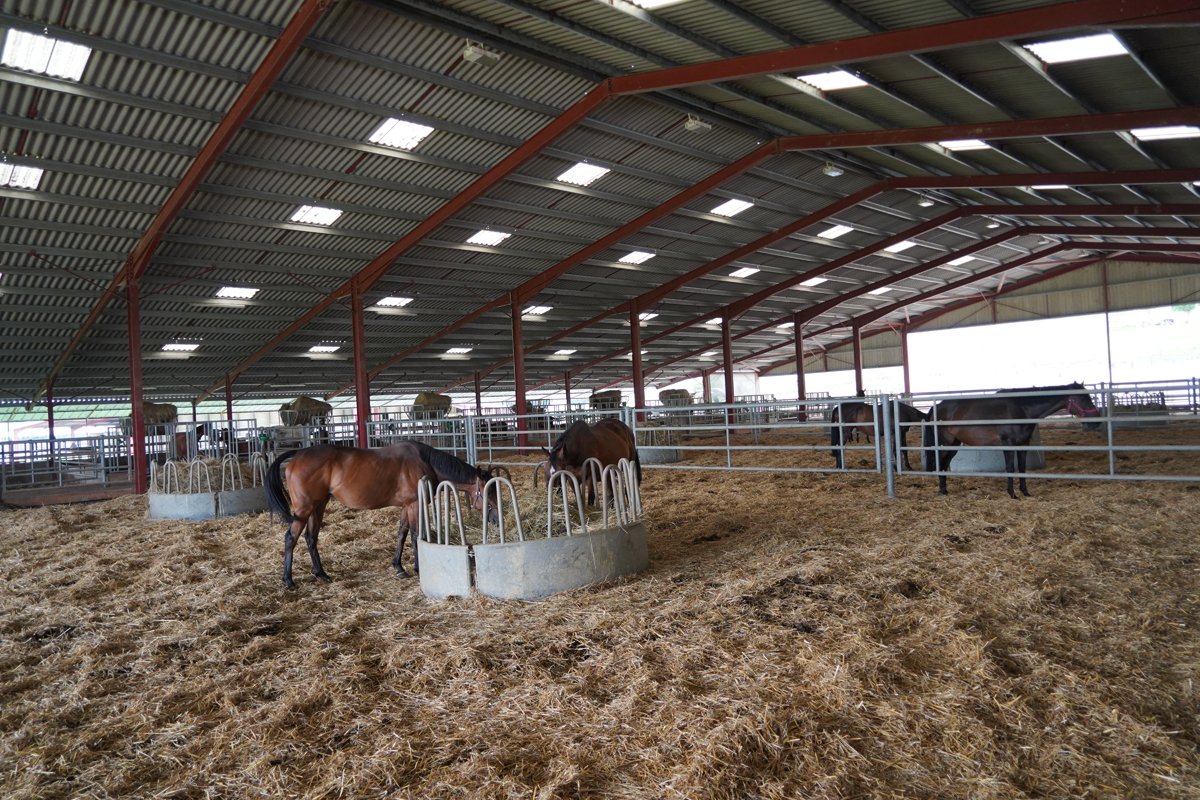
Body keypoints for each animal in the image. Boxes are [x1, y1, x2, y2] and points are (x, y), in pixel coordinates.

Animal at [264, 444, 437, 589]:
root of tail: (299, 454)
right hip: (304, 509)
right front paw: (417, 568)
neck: (423, 462)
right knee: (291, 538)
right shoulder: (414, 504)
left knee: (311, 537)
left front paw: (398, 567)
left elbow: (402, 534)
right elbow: (415, 535)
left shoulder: (406, 506)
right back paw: (288, 580)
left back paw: (321, 573)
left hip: (317, 506)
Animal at [924, 382, 1100, 499]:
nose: (1096, 421)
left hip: (954, 444)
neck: (1021, 409)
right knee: (941, 462)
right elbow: (1010, 467)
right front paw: (1012, 494)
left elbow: (1021, 468)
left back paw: (944, 490)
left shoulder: (1023, 444)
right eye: (1082, 398)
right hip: (946, 443)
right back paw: (942, 491)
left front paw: (1025, 492)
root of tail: (938, 407)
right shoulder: (1008, 443)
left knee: (945, 463)